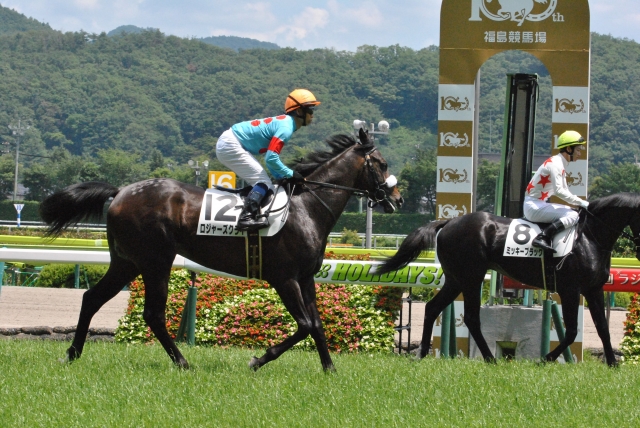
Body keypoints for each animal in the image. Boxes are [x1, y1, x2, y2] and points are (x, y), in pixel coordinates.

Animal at [40, 129, 403, 371]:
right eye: (382, 163)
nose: (397, 199)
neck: (306, 207)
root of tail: (120, 192)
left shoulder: (306, 278)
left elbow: (316, 324)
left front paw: (330, 369)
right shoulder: (283, 278)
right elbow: (304, 325)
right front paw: (258, 360)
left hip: (126, 262)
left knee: (92, 299)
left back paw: (72, 353)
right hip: (156, 261)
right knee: (152, 313)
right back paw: (183, 362)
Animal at [376, 193, 640, 366]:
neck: (589, 237)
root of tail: (449, 222)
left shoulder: (593, 289)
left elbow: (602, 327)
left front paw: (613, 363)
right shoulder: (570, 290)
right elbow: (572, 331)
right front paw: (545, 358)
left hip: (456, 280)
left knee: (433, 308)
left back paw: (422, 353)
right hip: (471, 278)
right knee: (470, 317)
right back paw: (490, 358)